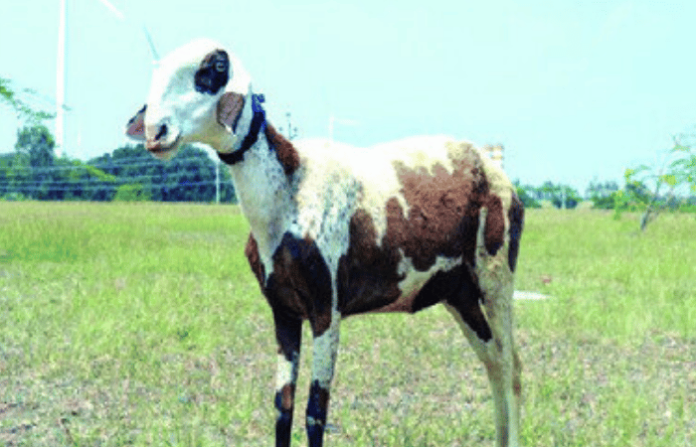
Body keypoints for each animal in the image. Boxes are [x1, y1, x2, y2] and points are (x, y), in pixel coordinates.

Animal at [125, 38, 524, 447]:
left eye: (215, 67)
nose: (156, 132)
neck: (290, 187)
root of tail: (496, 172)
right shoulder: (283, 309)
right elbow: (282, 407)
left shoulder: (326, 307)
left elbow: (315, 413)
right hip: (457, 292)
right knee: (493, 363)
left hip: (495, 276)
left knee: (511, 368)